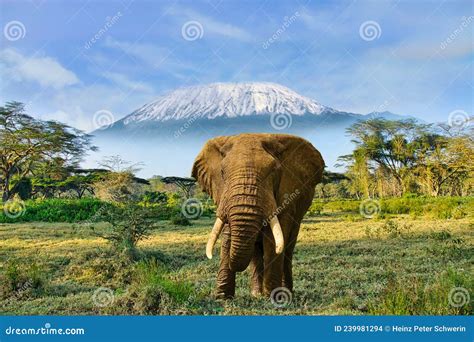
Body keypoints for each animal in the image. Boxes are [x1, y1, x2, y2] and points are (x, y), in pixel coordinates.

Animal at [191, 132, 324, 298]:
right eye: (222, 172)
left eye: (274, 171)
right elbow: (228, 233)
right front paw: (222, 298)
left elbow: (274, 239)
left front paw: (273, 297)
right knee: (256, 253)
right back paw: (256, 294)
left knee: (288, 249)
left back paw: (285, 292)